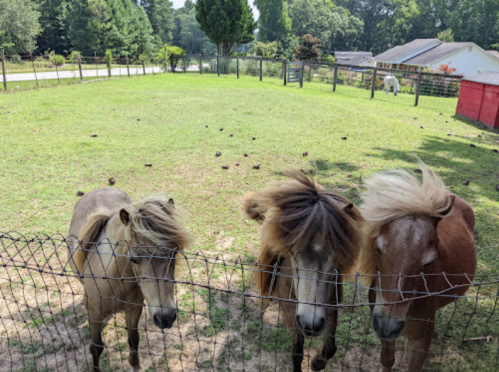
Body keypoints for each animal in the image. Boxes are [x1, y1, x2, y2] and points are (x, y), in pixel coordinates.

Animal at [68, 189, 195, 372]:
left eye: (174, 253)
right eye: (134, 259)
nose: (165, 317)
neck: (114, 282)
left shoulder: (134, 310)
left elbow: (133, 339)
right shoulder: (94, 315)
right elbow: (96, 347)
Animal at [244, 171, 366, 372]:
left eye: (337, 255)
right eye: (292, 252)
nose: (311, 324)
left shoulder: (331, 306)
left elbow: (331, 347)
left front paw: (317, 363)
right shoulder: (292, 314)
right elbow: (297, 352)